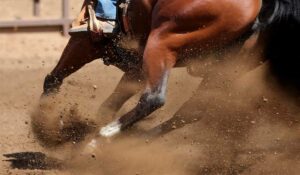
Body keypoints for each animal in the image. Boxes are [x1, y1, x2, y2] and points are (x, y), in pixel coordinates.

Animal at [42, 0, 300, 138]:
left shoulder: (86, 38)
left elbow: (54, 78)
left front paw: (42, 124)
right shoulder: (135, 67)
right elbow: (110, 103)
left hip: (163, 40)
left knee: (154, 99)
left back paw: (105, 136)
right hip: (224, 68)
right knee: (190, 112)